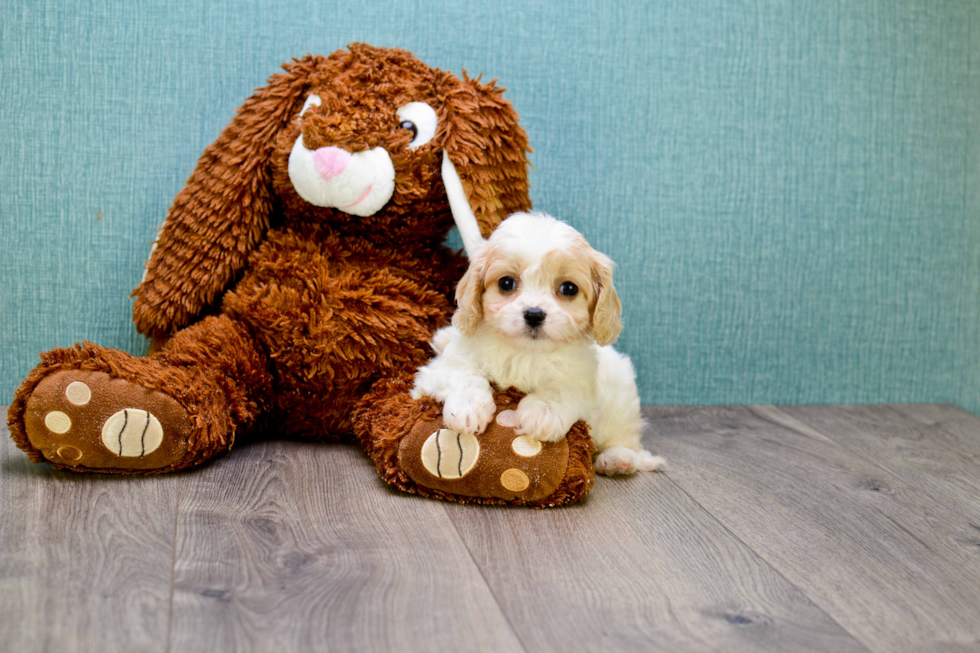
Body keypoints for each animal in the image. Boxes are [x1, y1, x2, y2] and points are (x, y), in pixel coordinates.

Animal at [414, 213, 668, 474]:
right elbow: (464, 375)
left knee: (625, 439)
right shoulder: (439, 369)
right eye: (506, 283)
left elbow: (561, 389)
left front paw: (542, 413)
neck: (526, 352)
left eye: (569, 288)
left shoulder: (582, 378)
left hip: (621, 401)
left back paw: (618, 459)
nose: (534, 314)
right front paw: (468, 407)